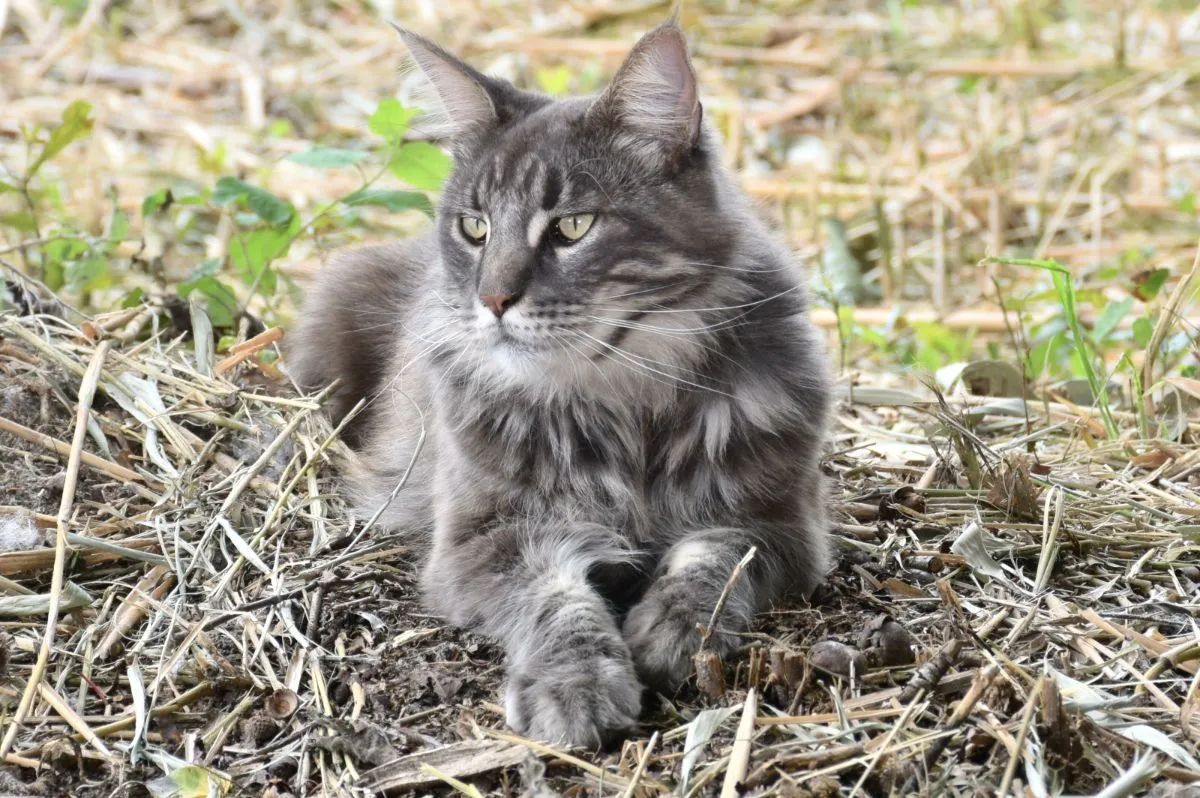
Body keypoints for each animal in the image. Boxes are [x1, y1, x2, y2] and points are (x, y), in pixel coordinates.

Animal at [290, 21, 835, 748]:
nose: (492, 299)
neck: (628, 399)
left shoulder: (779, 525)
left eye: (573, 227)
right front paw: (575, 687)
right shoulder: (482, 540)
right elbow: (556, 601)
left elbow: (710, 563)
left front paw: (670, 631)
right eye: (475, 227)